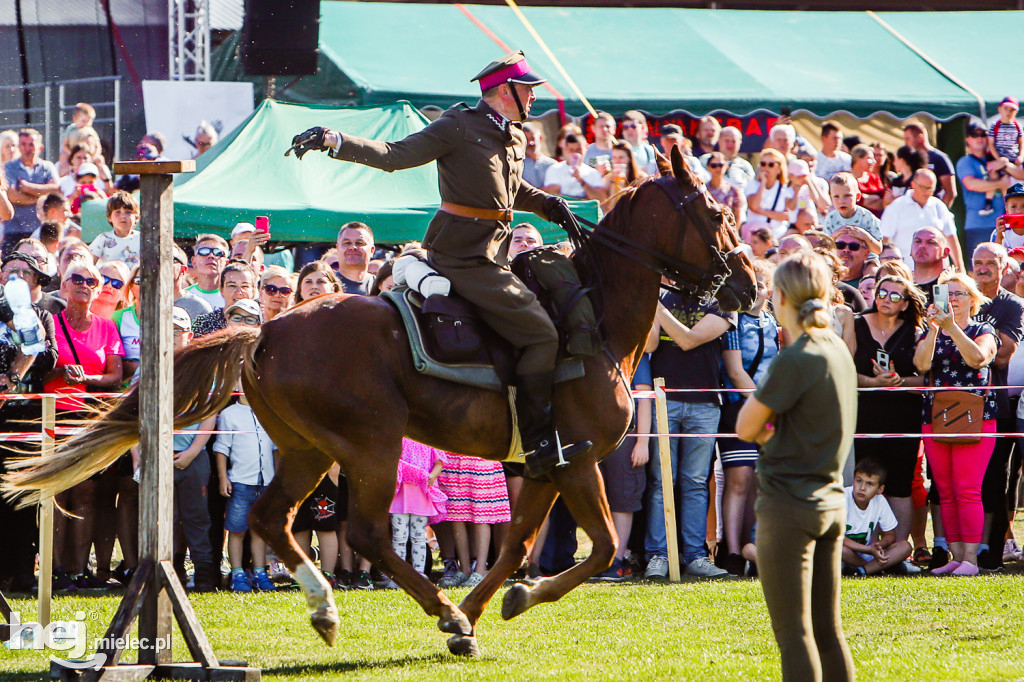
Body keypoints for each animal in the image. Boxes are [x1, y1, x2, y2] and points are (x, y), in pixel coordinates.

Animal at [4, 147, 757, 655]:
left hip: (309, 449)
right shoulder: (577, 461)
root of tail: (266, 329)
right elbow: (596, 549)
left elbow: (517, 544)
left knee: (275, 518)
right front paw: (490, 609)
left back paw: (330, 608)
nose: (748, 286)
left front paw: (488, 607)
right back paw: (430, 608)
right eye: (718, 212)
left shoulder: (546, 463)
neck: (594, 315)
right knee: (361, 531)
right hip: (372, 445)